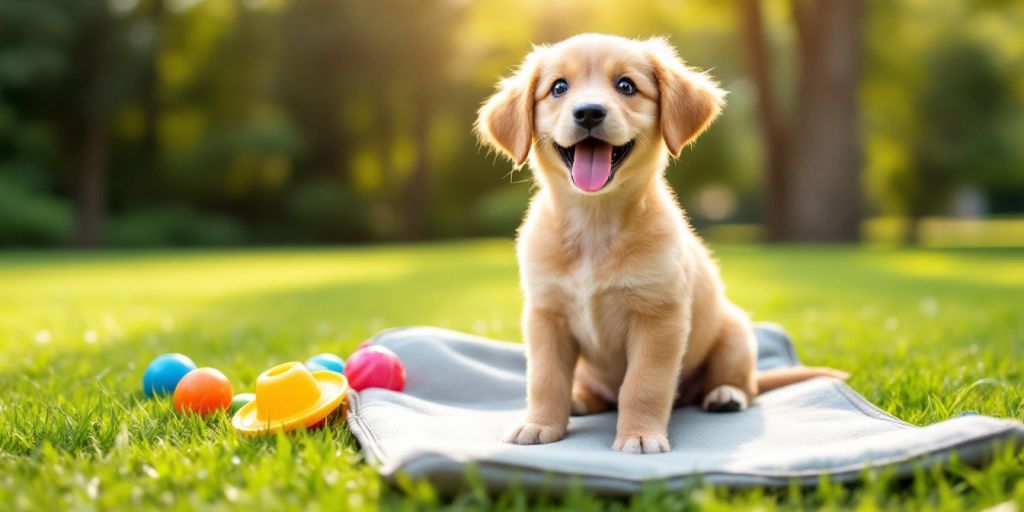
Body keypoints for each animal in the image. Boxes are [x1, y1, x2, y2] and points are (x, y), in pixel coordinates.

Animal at [475, 34, 843, 454]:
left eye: (626, 85)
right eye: (558, 88)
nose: (588, 113)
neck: (595, 223)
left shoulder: (658, 317)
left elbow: (643, 384)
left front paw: (638, 435)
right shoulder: (545, 316)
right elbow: (545, 379)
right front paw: (539, 424)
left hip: (735, 334)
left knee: (744, 384)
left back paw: (725, 394)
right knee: (594, 390)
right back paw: (581, 399)